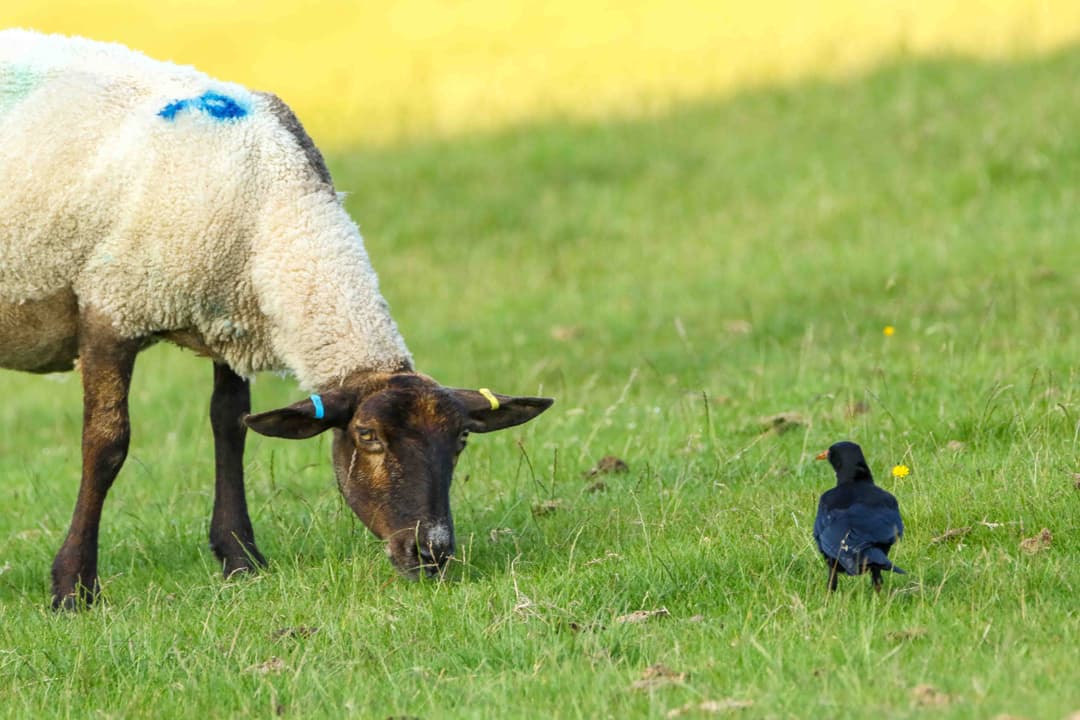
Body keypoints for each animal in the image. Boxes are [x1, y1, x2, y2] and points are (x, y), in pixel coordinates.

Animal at [0, 29, 553, 609]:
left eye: (462, 439)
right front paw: (73, 587)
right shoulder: (113, 306)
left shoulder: (228, 320)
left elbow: (230, 425)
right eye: (368, 436)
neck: (275, 205)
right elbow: (107, 445)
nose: (432, 553)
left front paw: (240, 559)